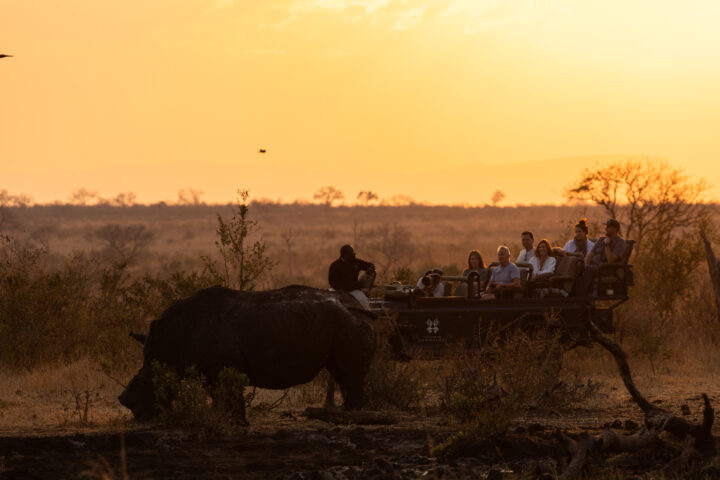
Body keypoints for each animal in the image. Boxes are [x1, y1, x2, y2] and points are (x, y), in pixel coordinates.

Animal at [119, 285, 376, 420]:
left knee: (348, 373)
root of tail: (362, 307)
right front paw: (229, 420)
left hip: (348, 323)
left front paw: (236, 423)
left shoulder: (222, 365)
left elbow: (228, 393)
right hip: (343, 323)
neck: (173, 342)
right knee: (340, 372)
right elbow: (221, 396)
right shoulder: (214, 369)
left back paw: (350, 416)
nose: (126, 403)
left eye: (149, 378)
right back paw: (345, 414)